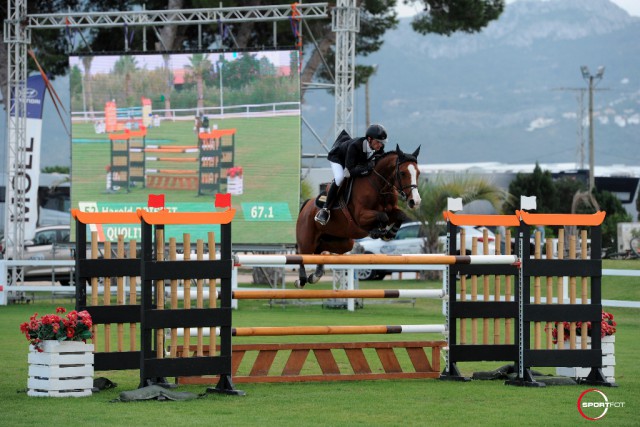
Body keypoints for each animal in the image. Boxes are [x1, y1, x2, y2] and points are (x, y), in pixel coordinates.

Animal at [294, 145, 420, 290]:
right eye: (403, 173)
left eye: (418, 173)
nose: (415, 201)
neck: (379, 186)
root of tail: (305, 206)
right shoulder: (360, 216)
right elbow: (382, 216)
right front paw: (377, 231)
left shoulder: (392, 210)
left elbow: (400, 215)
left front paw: (390, 233)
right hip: (307, 241)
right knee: (302, 254)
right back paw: (301, 280)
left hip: (344, 243)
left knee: (320, 249)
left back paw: (315, 275)